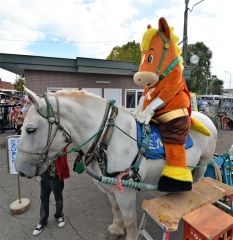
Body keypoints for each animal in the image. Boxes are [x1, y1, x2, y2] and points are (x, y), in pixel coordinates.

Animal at [15, 88, 218, 240]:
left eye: (30, 129)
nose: (20, 170)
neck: (107, 137)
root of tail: (206, 118)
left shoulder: (125, 190)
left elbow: (129, 219)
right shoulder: (108, 187)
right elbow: (115, 209)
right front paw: (116, 228)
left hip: (202, 165)